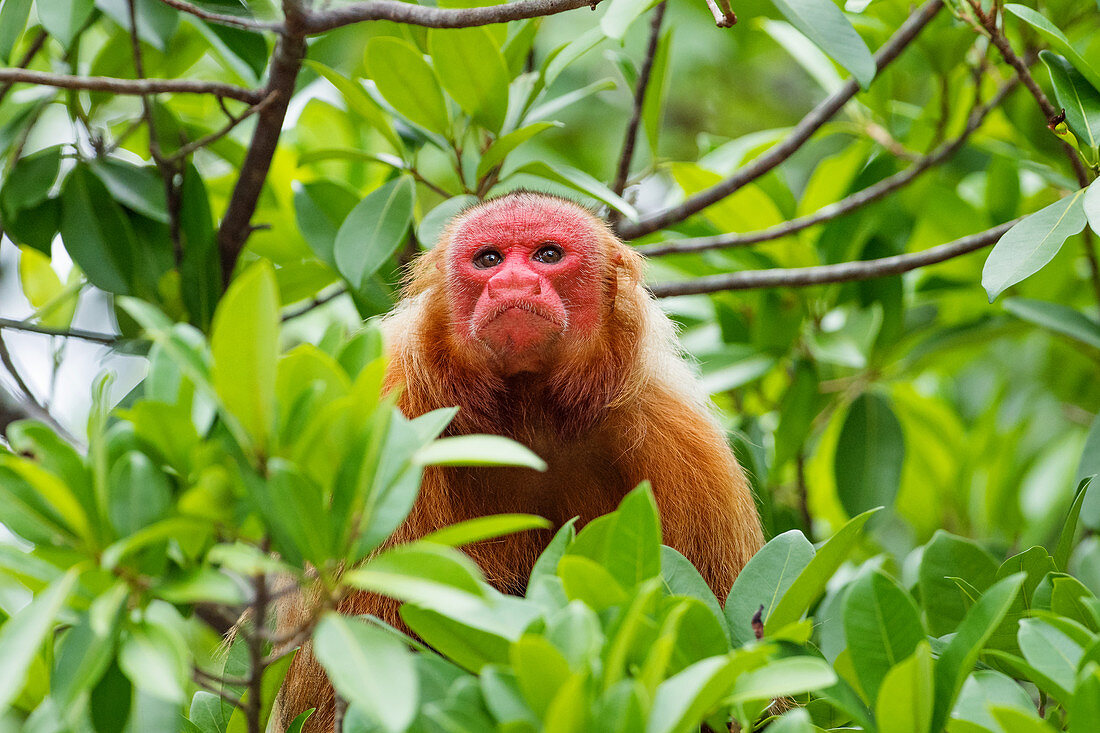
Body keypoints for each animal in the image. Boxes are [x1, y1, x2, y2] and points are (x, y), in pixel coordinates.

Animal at [272, 191, 765, 726]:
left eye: (547, 255)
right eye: (489, 259)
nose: (511, 282)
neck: (528, 420)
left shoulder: (687, 449)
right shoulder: (387, 419)